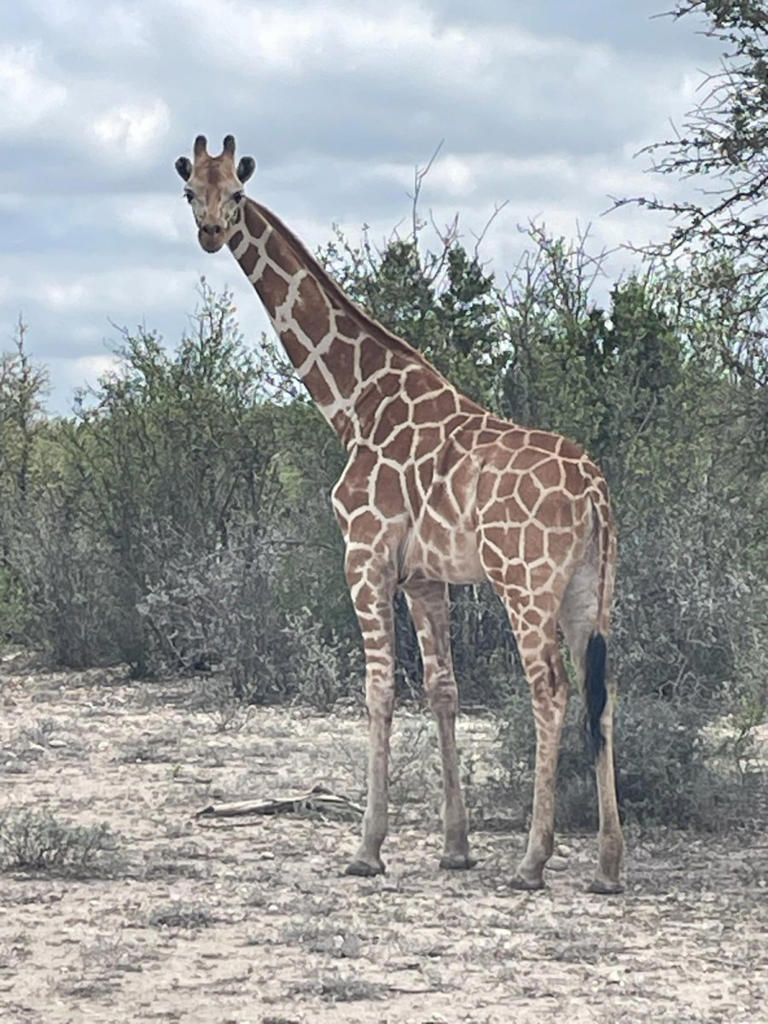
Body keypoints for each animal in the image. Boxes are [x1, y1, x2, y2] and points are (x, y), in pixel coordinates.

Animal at [175, 135, 624, 894]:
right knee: (603, 691)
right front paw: (455, 846)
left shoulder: (364, 554)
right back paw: (608, 865)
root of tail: (594, 490)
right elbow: (443, 690)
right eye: (189, 192)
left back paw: (533, 860)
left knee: (551, 690)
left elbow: (379, 688)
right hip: (591, 589)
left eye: (236, 192)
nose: (210, 232)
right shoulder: (424, 575)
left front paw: (367, 848)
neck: (354, 404)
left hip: (526, 582)